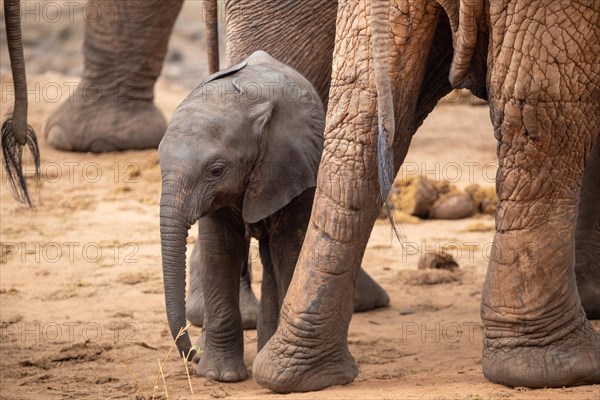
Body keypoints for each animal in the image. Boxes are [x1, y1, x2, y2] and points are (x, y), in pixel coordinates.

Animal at [158, 51, 390, 382]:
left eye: (216, 170)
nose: (193, 355)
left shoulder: (293, 167)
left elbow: (288, 250)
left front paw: (225, 373)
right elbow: (220, 253)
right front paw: (219, 376)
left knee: (274, 258)